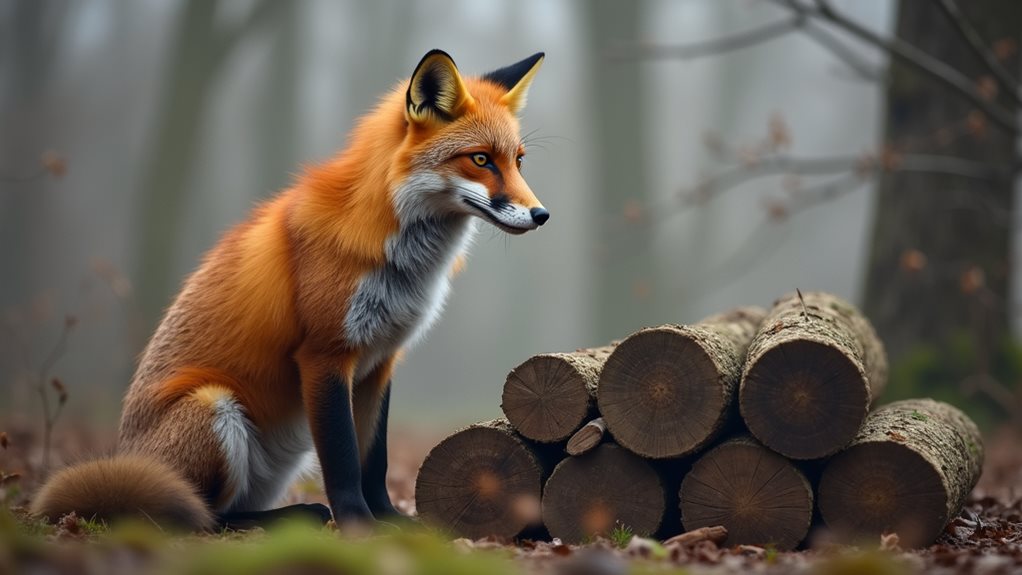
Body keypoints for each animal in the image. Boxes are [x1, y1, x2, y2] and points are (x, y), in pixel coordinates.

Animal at [30, 49, 548, 530]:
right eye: (480, 159)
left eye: (519, 161)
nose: (541, 215)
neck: (397, 258)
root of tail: (127, 454)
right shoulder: (324, 355)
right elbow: (342, 460)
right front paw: (358, 524)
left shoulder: (381, 360)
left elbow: (373, 459)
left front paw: (390, 520)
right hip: (214, 405)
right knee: (206, 517)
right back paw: (291, 516)